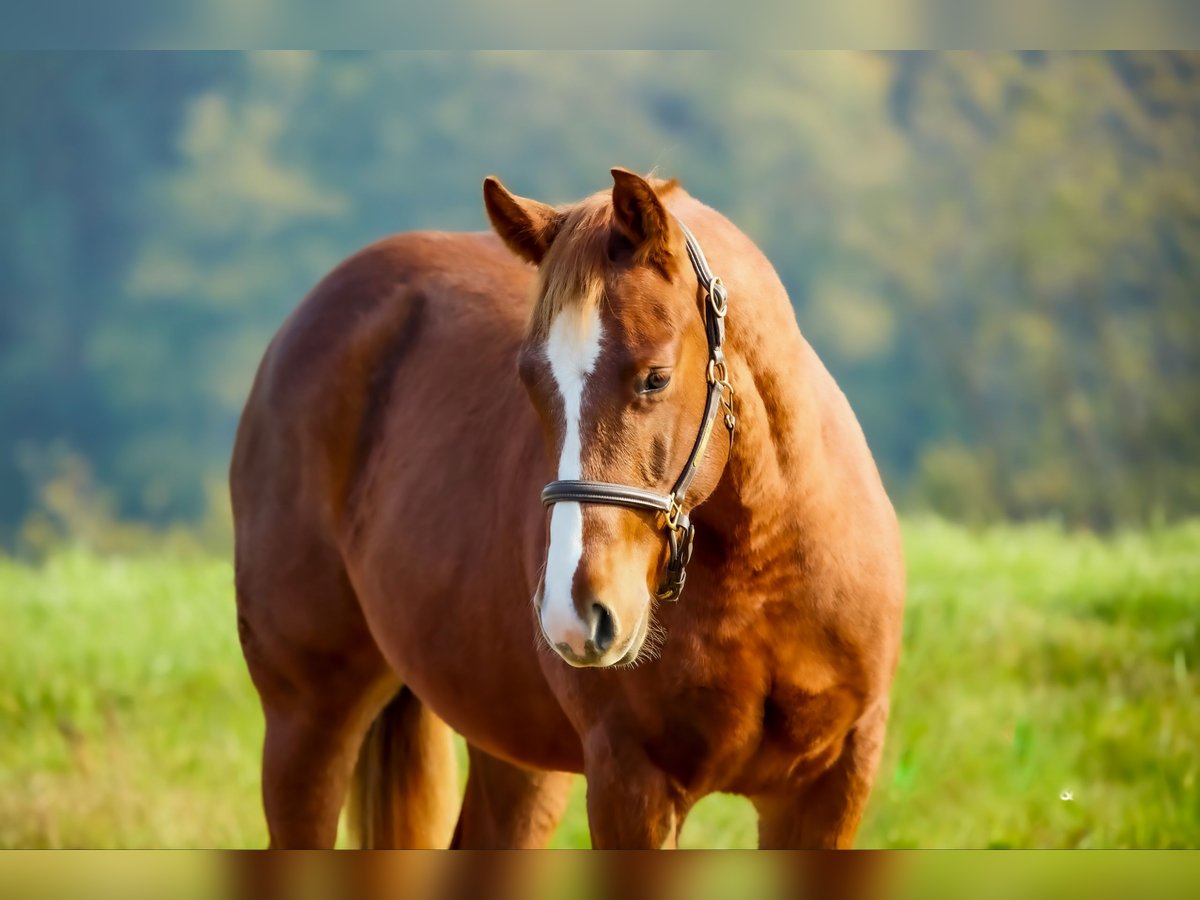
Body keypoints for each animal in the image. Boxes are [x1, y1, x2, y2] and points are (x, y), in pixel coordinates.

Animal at [229, 169, 902, 854]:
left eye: (655, 377)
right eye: (530, 380)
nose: (577, 614)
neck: (764, 568)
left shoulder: (830, 786)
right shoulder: (631, 783)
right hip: (307, 718)